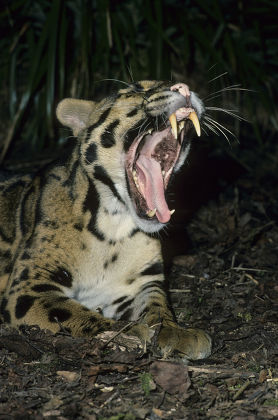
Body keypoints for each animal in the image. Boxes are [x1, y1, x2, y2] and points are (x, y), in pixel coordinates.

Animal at [0, 80, 211, 360]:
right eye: (137, 90)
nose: (184, 88)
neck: (113, 227)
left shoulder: (141, 283)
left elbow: (158, 304)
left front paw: (175, 330)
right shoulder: (29, 285)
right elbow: (70, 311)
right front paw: (126, 333)